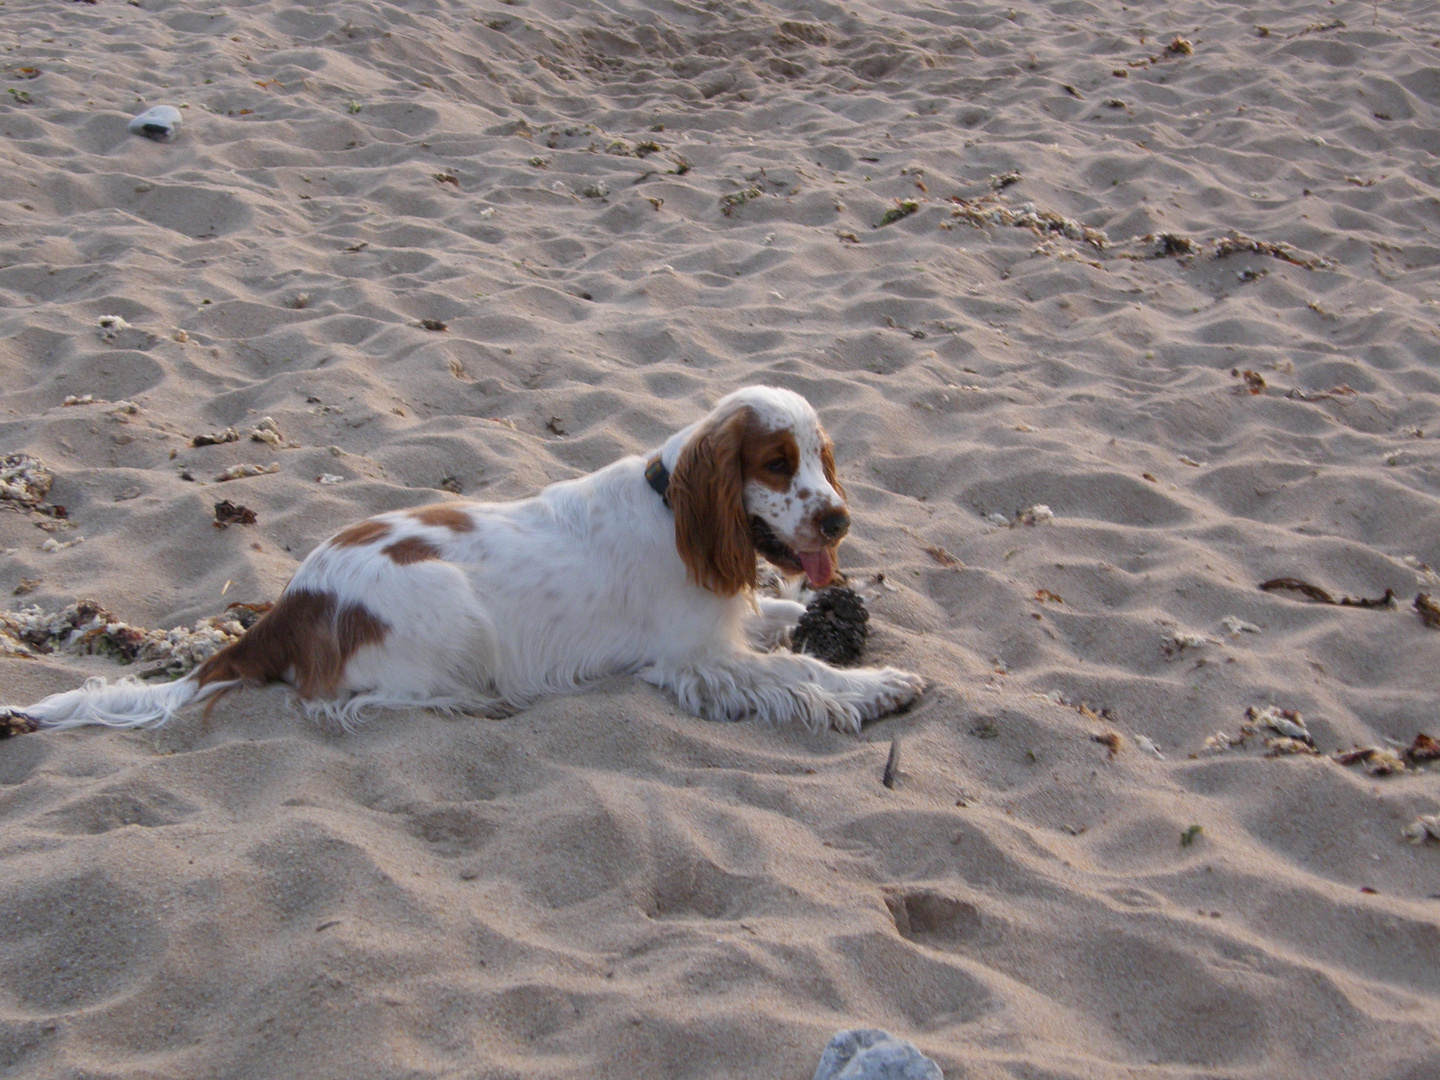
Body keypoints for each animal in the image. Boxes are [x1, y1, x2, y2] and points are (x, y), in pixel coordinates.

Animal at [8, 385, 921, 737]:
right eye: (776, 463)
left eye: (822, 458)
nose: (839, 519)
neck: (674, 510)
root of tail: (291, 603)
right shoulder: (697, 661)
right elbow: (801, 675)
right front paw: (880, 684)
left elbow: (784, 623)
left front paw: (819, 617)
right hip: (453, 609)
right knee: (358, 702)